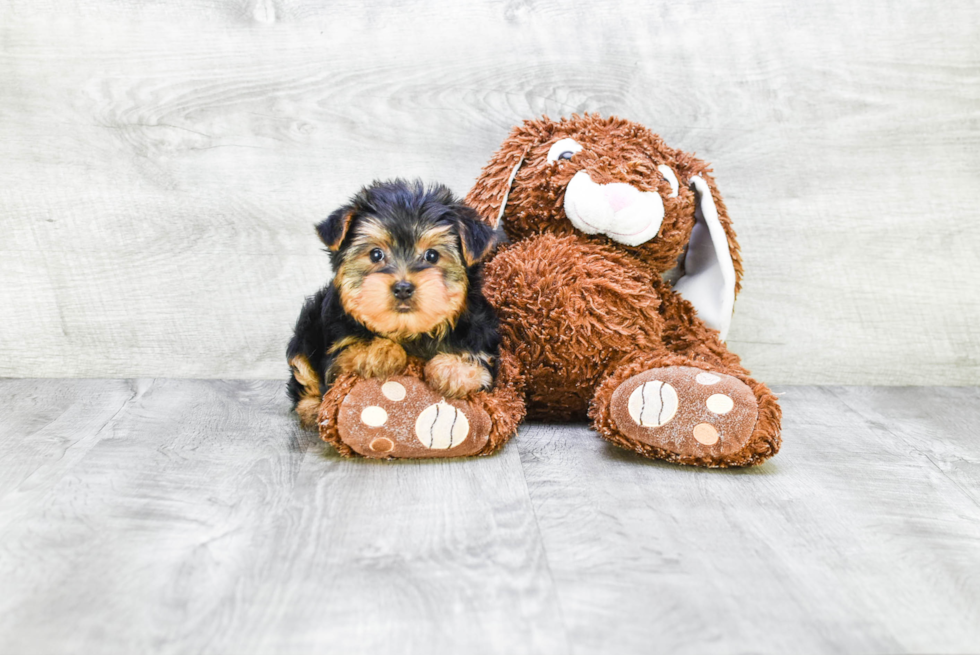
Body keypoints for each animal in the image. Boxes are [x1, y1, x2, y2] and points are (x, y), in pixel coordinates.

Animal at [284, 177, 498, 428]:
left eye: (432, 255)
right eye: (376, 254)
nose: (403, 288)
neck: (409, 331)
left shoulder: (484, 347)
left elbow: (479, 367)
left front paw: (448, 371)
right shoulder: (337, 356)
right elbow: (353, 352)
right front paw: (384, 353)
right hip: (307, 329)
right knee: (303, 371)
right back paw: (311, 408)